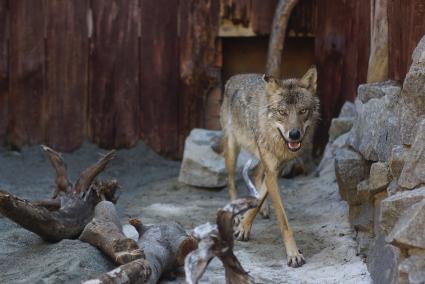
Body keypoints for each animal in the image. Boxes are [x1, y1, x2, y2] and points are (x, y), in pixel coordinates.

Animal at [219, 67, 318, 268]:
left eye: (303, 111)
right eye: (282, 112)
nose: (294, 135)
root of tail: (235, 77)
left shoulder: (276, 170)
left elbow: (260, 198)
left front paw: (245, 227)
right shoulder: (272, 171)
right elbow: (284, 222)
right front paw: (293, 254)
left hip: (258, 155)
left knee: (256, 174)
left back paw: (261, 209)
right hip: (232, 149)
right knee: (231, 181)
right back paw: (235, 213)